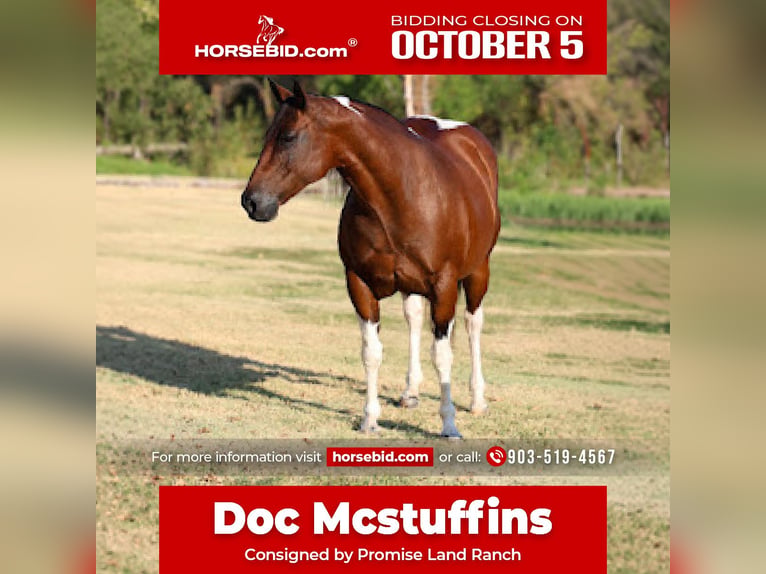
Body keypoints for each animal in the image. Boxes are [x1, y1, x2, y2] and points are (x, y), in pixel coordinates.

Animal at [241, 80, 500, 438]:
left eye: (289, 137)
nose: (251, 201)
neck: (399, 196)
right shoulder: (359, 283)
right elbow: (371, 352)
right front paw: (370, 419)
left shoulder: (444, 287)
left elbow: (442, 355)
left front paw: (449, 425)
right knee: (413, 318)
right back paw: (410, 392)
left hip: (478, 271)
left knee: (473, 323)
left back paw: (477, 400)